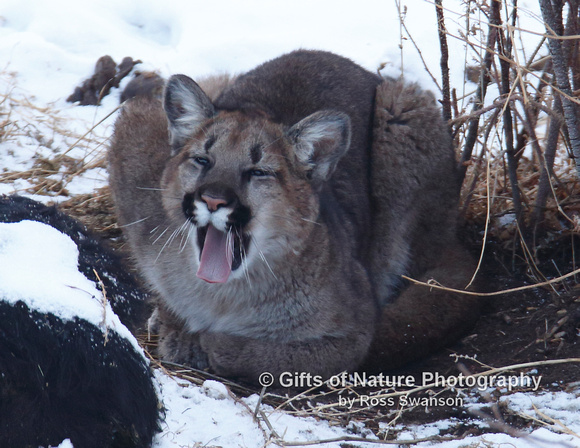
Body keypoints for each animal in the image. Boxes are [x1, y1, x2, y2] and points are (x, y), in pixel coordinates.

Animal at [109, 49, 480, 384]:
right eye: (202, 160)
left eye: (258, 172)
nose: (212, 200)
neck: (221, 295)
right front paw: (176, 327)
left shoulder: (355, 333)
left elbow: (283, 358)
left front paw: (211, 342)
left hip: (404, 113)